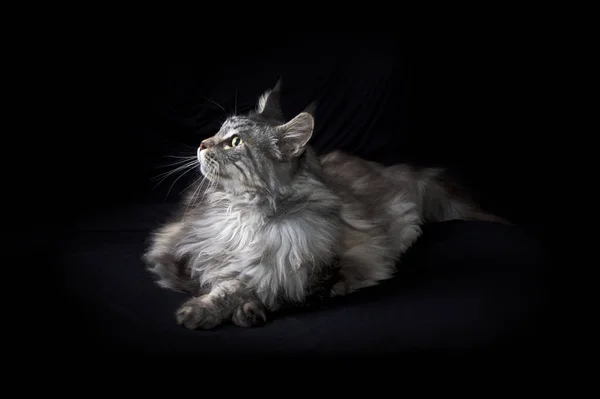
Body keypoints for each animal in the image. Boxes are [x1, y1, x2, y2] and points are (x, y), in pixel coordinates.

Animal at [142, 79, 506, 330]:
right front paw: (205, 309)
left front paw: (247, 309)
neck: (251, 216)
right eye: (219, 131)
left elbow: (268, 289)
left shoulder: (324, 273)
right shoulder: (183, 260)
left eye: (234, 142)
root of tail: (394, 170)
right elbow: (227, 282)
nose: (202, 144)